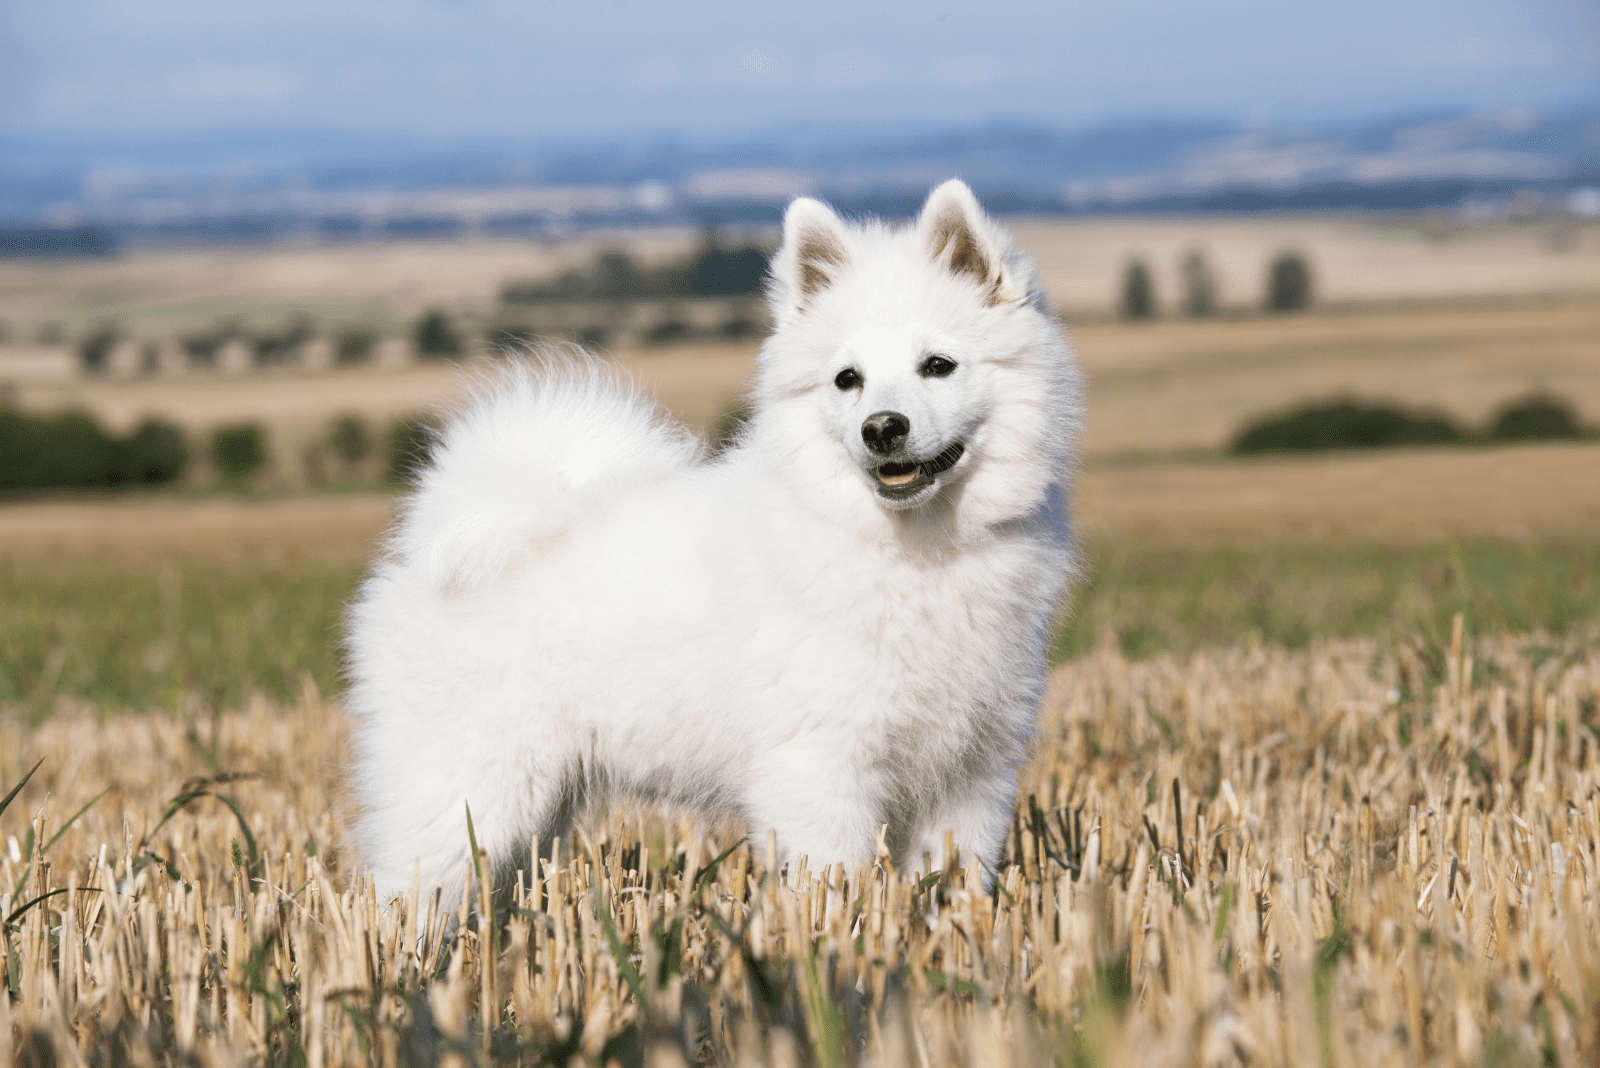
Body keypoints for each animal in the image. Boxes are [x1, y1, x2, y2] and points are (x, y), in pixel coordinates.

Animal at [344, 181, 1081, 901]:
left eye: (938, 365)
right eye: (848, 379)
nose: (882, 428)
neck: (915, 548)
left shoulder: (972, 775)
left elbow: (953, 886)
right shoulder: (820, 766)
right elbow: (834, 886)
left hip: (538, 805)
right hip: (466, 792)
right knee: (401, 896)